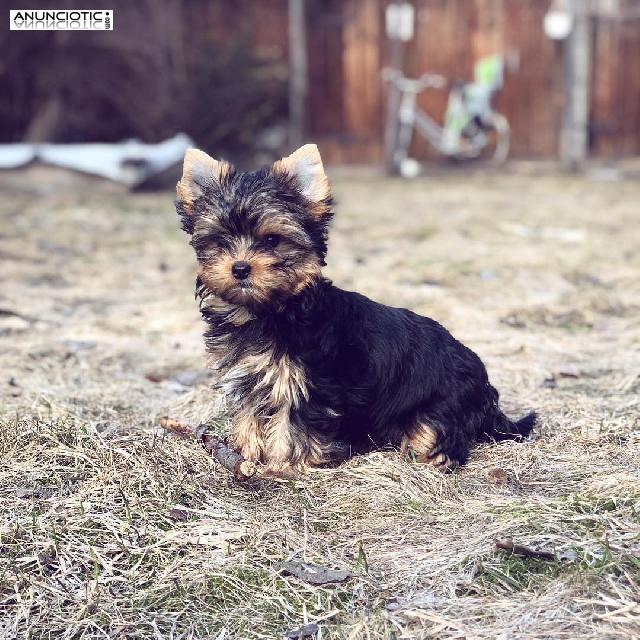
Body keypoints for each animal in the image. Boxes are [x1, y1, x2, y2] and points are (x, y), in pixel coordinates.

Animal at [176, 144, 536, 476]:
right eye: (219, 240)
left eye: (272, 241)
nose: (239, 268)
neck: (272, 310)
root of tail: (484, 385)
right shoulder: (251, 377)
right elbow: (250, 414)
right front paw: (246, 452)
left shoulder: (306, 384)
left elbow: (291, 426)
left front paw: (280, 467)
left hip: (443, 403)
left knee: (439, 434)